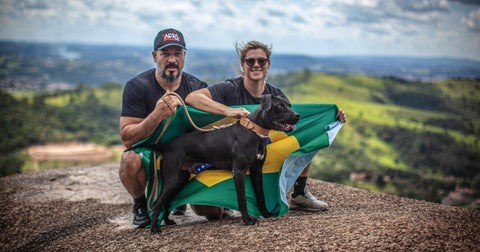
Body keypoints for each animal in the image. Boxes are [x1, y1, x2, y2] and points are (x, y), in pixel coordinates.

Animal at [151, 94, 300, 234]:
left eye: (289, 105)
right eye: (279, 106)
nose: (297, 115)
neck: (253, 131)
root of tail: (167, 146)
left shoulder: (257, 171)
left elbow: (261, 195)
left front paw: (266, 214)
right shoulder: (239, 172)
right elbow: (242, 199)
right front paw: (247, 220)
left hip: (179, 180)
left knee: (166, 202)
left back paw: (168, 221)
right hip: (172, 180)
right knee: (156, 204)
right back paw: (154, 228)